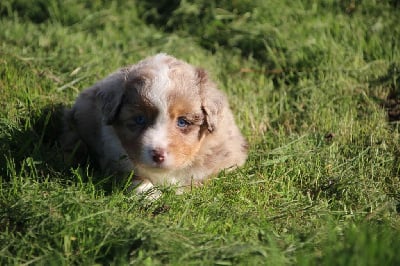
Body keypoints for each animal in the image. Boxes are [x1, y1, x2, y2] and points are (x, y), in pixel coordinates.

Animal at [60, 53, 247, 195]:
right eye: (140, 119)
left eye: (182, 122)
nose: (158, 155)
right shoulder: (115, 160)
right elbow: (136, 180)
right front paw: (150, 196)